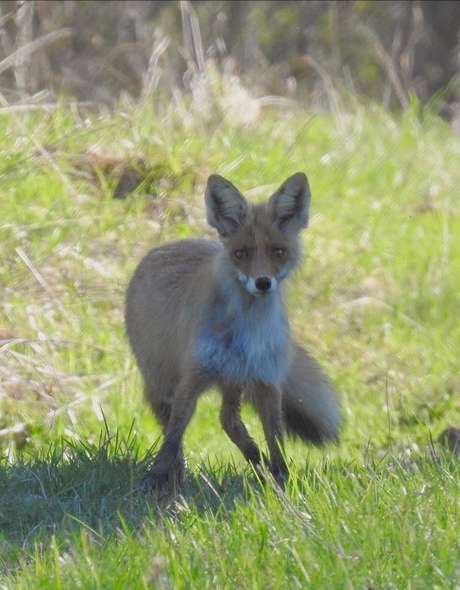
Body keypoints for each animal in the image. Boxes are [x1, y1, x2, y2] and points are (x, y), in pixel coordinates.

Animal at [125, 172, 341, 487]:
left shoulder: (266, 378)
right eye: (241, 253)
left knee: (229, 420)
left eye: (278, 252)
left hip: (233, 378)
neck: (248, 331)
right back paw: (180, 473)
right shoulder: (193, 375)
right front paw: (158, 479)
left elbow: (276, 437)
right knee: (171, 421)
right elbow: (174, 433)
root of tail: (165, 245)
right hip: (163, 380)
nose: (262, 283)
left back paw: (257, 462)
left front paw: (281, 480)